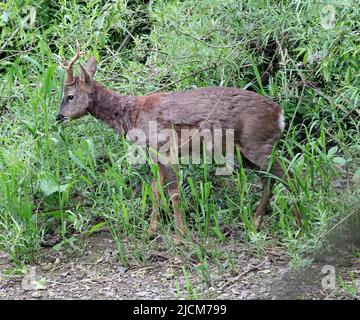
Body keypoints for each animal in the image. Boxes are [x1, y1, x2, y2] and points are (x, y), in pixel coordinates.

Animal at [57, 44, 300, 242]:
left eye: (69, 96)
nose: (58, 116)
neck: (132, 114)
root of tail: (280, 114)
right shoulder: (153, 154)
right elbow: (156, 189)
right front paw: (151, 230)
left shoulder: (165, 146)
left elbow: (173, 190)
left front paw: (179, 235)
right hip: (246, 152)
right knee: (269, 180)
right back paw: (255, 223)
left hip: (257, 144)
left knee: (290, 175)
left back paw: (299, 222)